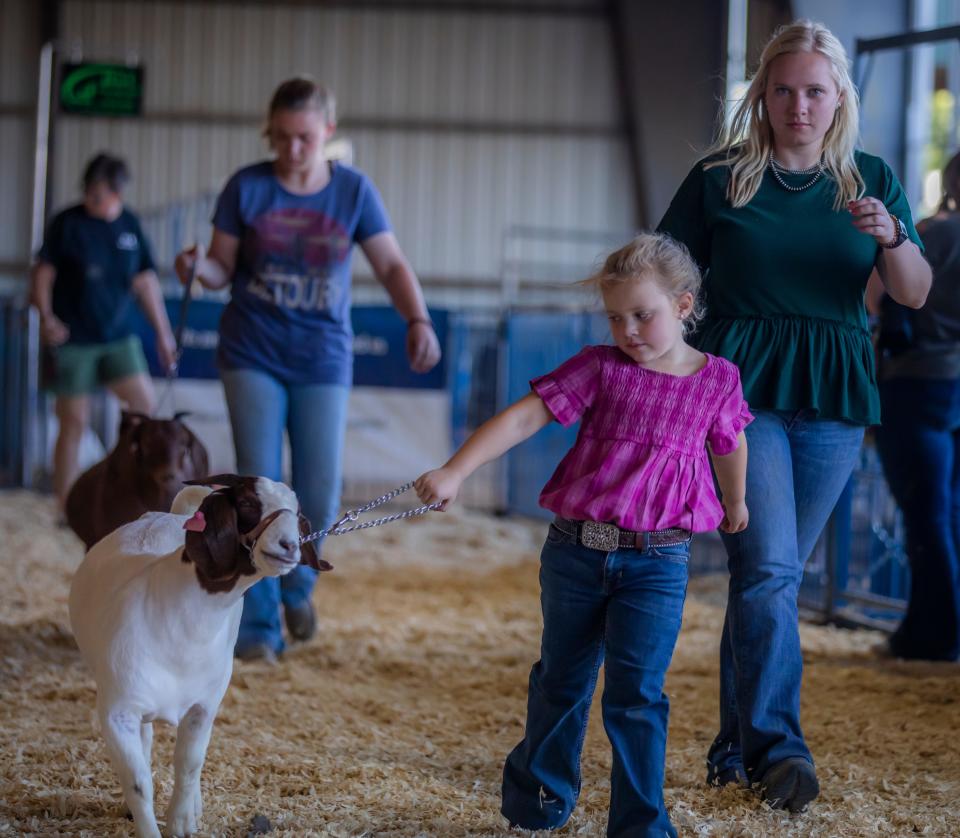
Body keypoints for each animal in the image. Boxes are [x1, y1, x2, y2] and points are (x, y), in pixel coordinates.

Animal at [67, 476, 330, 838]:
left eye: (297, 511)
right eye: (248, 503)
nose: (289, 545)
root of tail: (168, 516)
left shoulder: (203, 708)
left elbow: (189, 765)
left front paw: (181, 822)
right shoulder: (118, 712)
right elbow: (139, 782)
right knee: (146, 741)